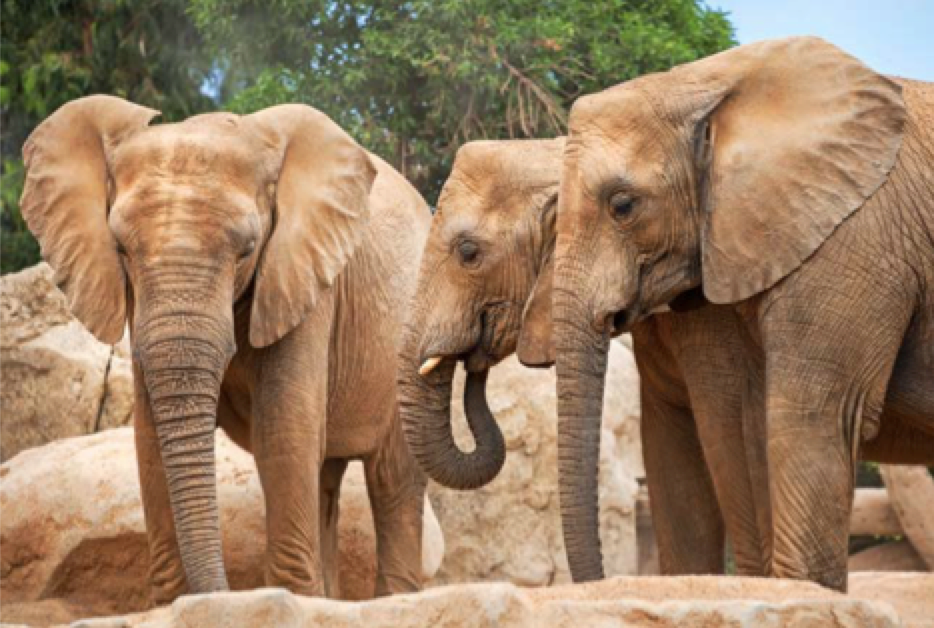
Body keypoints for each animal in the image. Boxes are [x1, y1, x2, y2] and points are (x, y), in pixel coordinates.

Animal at [19, 96, 432, 602]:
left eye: (247, 250)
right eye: (121, 250)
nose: (222, 592)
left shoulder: (302, 278)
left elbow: (283, 430)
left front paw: (283, 601)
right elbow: (150, 440)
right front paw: (177, 604)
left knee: (392, 478)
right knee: (326, 478)